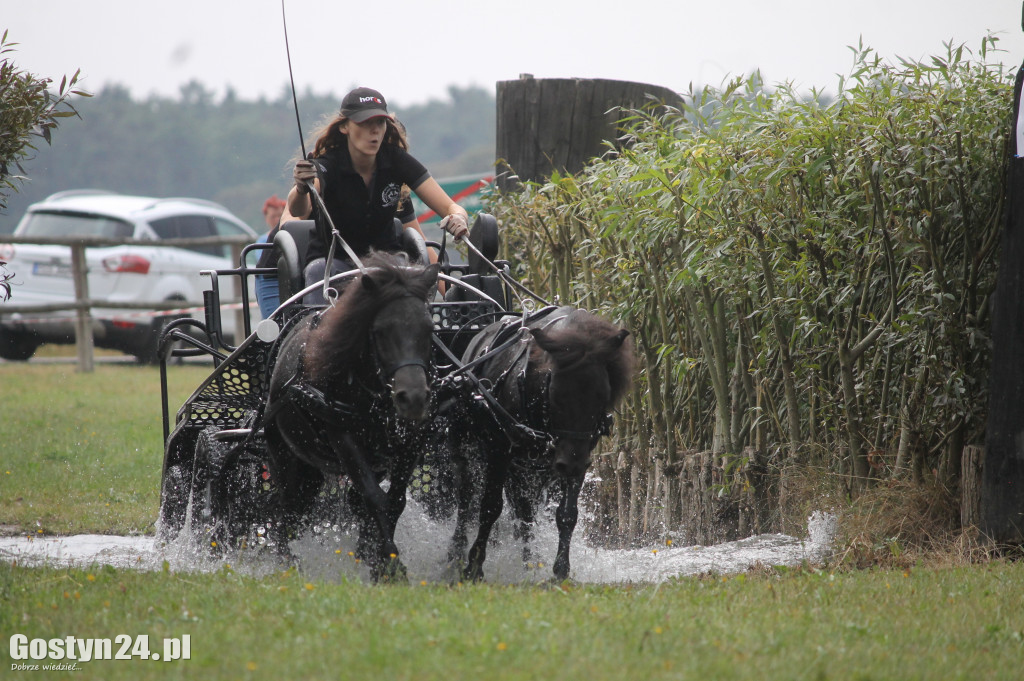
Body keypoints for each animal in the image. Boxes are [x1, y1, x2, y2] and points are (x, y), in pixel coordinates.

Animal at [262, 251, 438, 581]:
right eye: (380, 331)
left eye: (430, 330)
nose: (413, 398)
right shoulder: (343, 438)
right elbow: (375, 499)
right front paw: (391, 564)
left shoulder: (411, 442)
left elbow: (394, 502)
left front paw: (377, 557)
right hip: (288, 462)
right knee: (285, 511)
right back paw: (287, 565)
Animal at [448, 307, 630, 577]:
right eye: (556, 394)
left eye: (602, 396)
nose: (571, 464)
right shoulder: (498, 450)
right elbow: (489, 507)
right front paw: (474, 566)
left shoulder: (579, 455)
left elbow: (566, 514)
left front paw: (560, 569)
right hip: (467, 447)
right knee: (466, 497)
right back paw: (455, 554)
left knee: (525, 512)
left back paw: (529, 562)